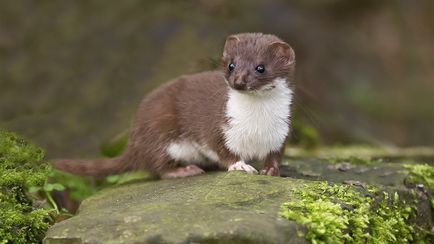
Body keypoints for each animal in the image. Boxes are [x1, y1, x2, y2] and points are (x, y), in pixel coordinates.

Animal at [53, 32, 294, 178]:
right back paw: (185, 170)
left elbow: (275, 155)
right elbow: (222, 151)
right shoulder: (219, 128)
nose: (239, 81)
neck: (256, 123)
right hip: (161, 133)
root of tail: (135, 141)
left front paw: (271, 170)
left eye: (260, 67)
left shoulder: (281, 132)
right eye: (231, 65)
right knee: (158, 166)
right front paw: (241, 165)